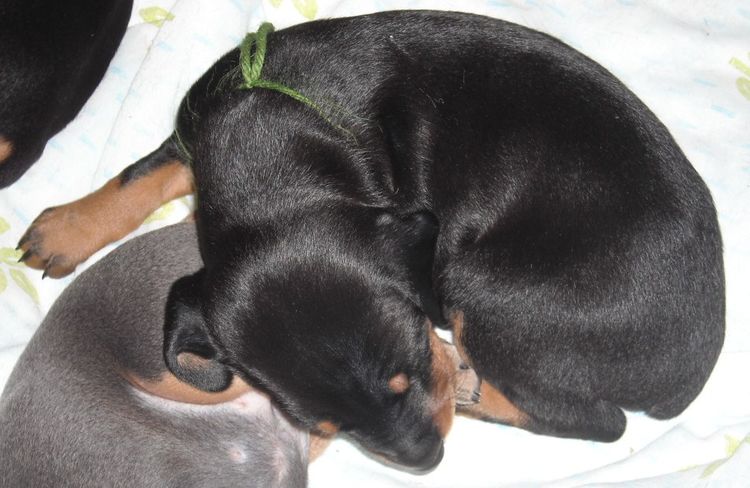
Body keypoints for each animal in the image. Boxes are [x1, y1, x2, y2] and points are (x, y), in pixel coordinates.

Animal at [20, 9, 728, 468]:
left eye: (407, 371)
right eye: (322, 426)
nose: (425, 461)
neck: (266, 156)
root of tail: (690, 375)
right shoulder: (195, 127)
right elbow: (140, 173)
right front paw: (64, 229)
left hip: (481, 288)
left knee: (597, 422)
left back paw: (475, 388)